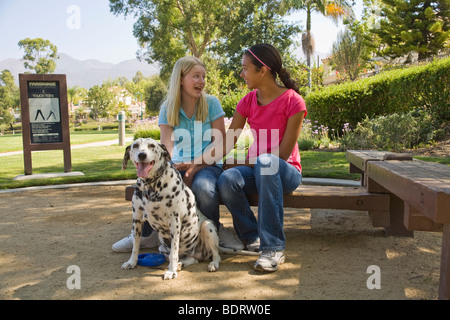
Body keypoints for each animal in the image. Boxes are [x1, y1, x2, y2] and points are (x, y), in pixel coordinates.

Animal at [121, 138, 221, 280]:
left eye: (151, 145)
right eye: (135, 145)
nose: (142, 155)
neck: (151, 187)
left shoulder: (174, 221)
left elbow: (174, 251)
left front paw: (171, 271)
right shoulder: (137, 219)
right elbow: (136, 245)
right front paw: (131, 262)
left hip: (207, 226)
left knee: (216, 254)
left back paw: (212, 264)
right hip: (163, 244)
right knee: (190, 259)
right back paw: (180, 264)